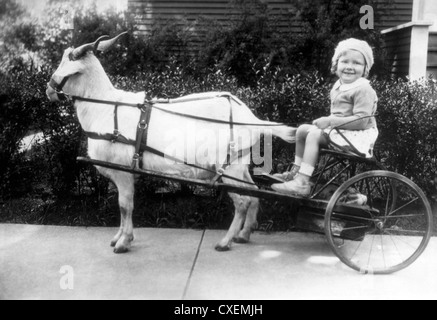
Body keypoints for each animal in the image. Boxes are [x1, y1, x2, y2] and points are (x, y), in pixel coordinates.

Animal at [45, 32, 296, 252]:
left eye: (66, 62)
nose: (48, 89)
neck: (106, 107)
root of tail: (252, 119)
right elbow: (122, 206)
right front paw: (119, 237)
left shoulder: (123, 171)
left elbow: (125, 206)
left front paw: (123, 243)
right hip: (239, 163)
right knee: (253, 193)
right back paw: (244, 234)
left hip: (227, 166)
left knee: (242, 201)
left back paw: (225, 242)